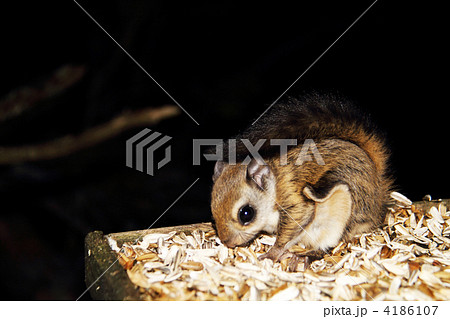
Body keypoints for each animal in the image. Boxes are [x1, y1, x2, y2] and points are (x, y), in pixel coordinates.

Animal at [209, 93, 392, 264]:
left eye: (246, 214)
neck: (275, 185)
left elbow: (288, 233)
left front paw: (272, 253)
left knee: (330, 245)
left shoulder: (294, 201)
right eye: (212, 209)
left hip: (343, 214)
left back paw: (304, 257)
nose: (228, 242)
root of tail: (378, 194)